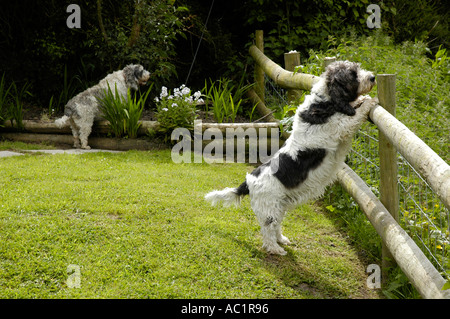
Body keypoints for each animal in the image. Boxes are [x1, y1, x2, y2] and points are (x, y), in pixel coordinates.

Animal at [206, 61, 378, 256]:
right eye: (353, 74)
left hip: (279, 207)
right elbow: (355, 116)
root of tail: (248, 182)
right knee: (267, 231)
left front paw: (362, 100)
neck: (323, 102)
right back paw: (276, 249)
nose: (372, 77)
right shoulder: (341, 126)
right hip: (269, 209)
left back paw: (282, 240)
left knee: (276, 227)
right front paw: (370, 101)